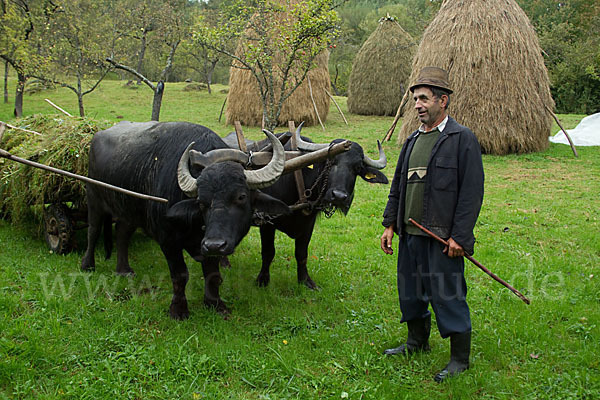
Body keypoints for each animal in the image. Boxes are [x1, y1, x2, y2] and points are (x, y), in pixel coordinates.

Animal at [81, 122, 292, 318]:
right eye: (200, 201)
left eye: (241, 196)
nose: (215, 244)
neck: (196, 225)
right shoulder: (168, 241)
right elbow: (180, 275)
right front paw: (179, 310)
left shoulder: (207, 244)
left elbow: (213, 273)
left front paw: (215, 303)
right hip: (93, 196)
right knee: (93, 230)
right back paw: (87, 265)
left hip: (128, 209)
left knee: (122, 233)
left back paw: (123, 270)